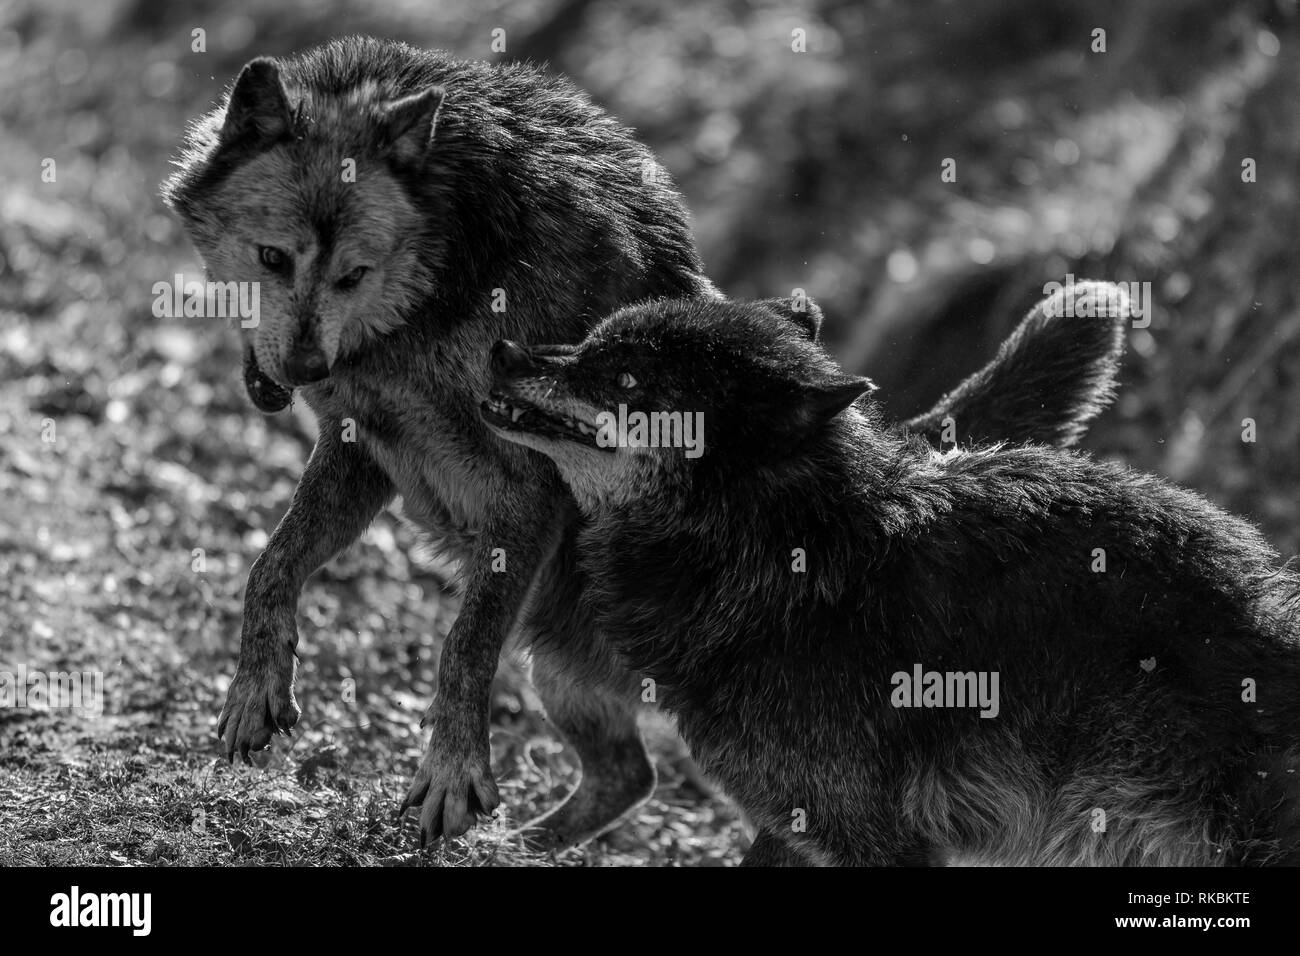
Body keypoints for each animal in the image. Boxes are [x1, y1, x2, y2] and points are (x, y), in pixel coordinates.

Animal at [163, 35, 1128, 853]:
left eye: (353, 274)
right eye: (273, 259)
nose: (301, 368)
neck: (441, 283)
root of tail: (890, 454)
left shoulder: (524, 501)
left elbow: (459, 650)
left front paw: (449, 776)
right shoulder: (361, 452)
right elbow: (272, 566)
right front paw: (255, 692)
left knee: (665, 781)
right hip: (559, 660)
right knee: (631, 775)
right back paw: (527, 847)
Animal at [484, 290, 1300, 866]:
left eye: (625, 375)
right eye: (590, 341)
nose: (502, 347)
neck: (786, 556)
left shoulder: (872, 838)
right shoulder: (797, 822)